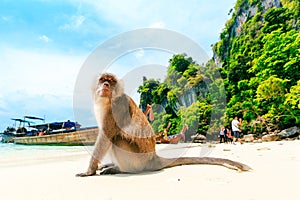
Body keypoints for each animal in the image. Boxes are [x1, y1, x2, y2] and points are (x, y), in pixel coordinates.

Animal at [75, 73, 251, 177]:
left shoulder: (116, 109)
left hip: (137, 161)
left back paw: (119, 169)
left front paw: (89, 171)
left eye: (110, 82)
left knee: (117, 138)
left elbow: (106, 137)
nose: (105, 85)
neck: (108, 100)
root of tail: (153, 158)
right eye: (102, 80)